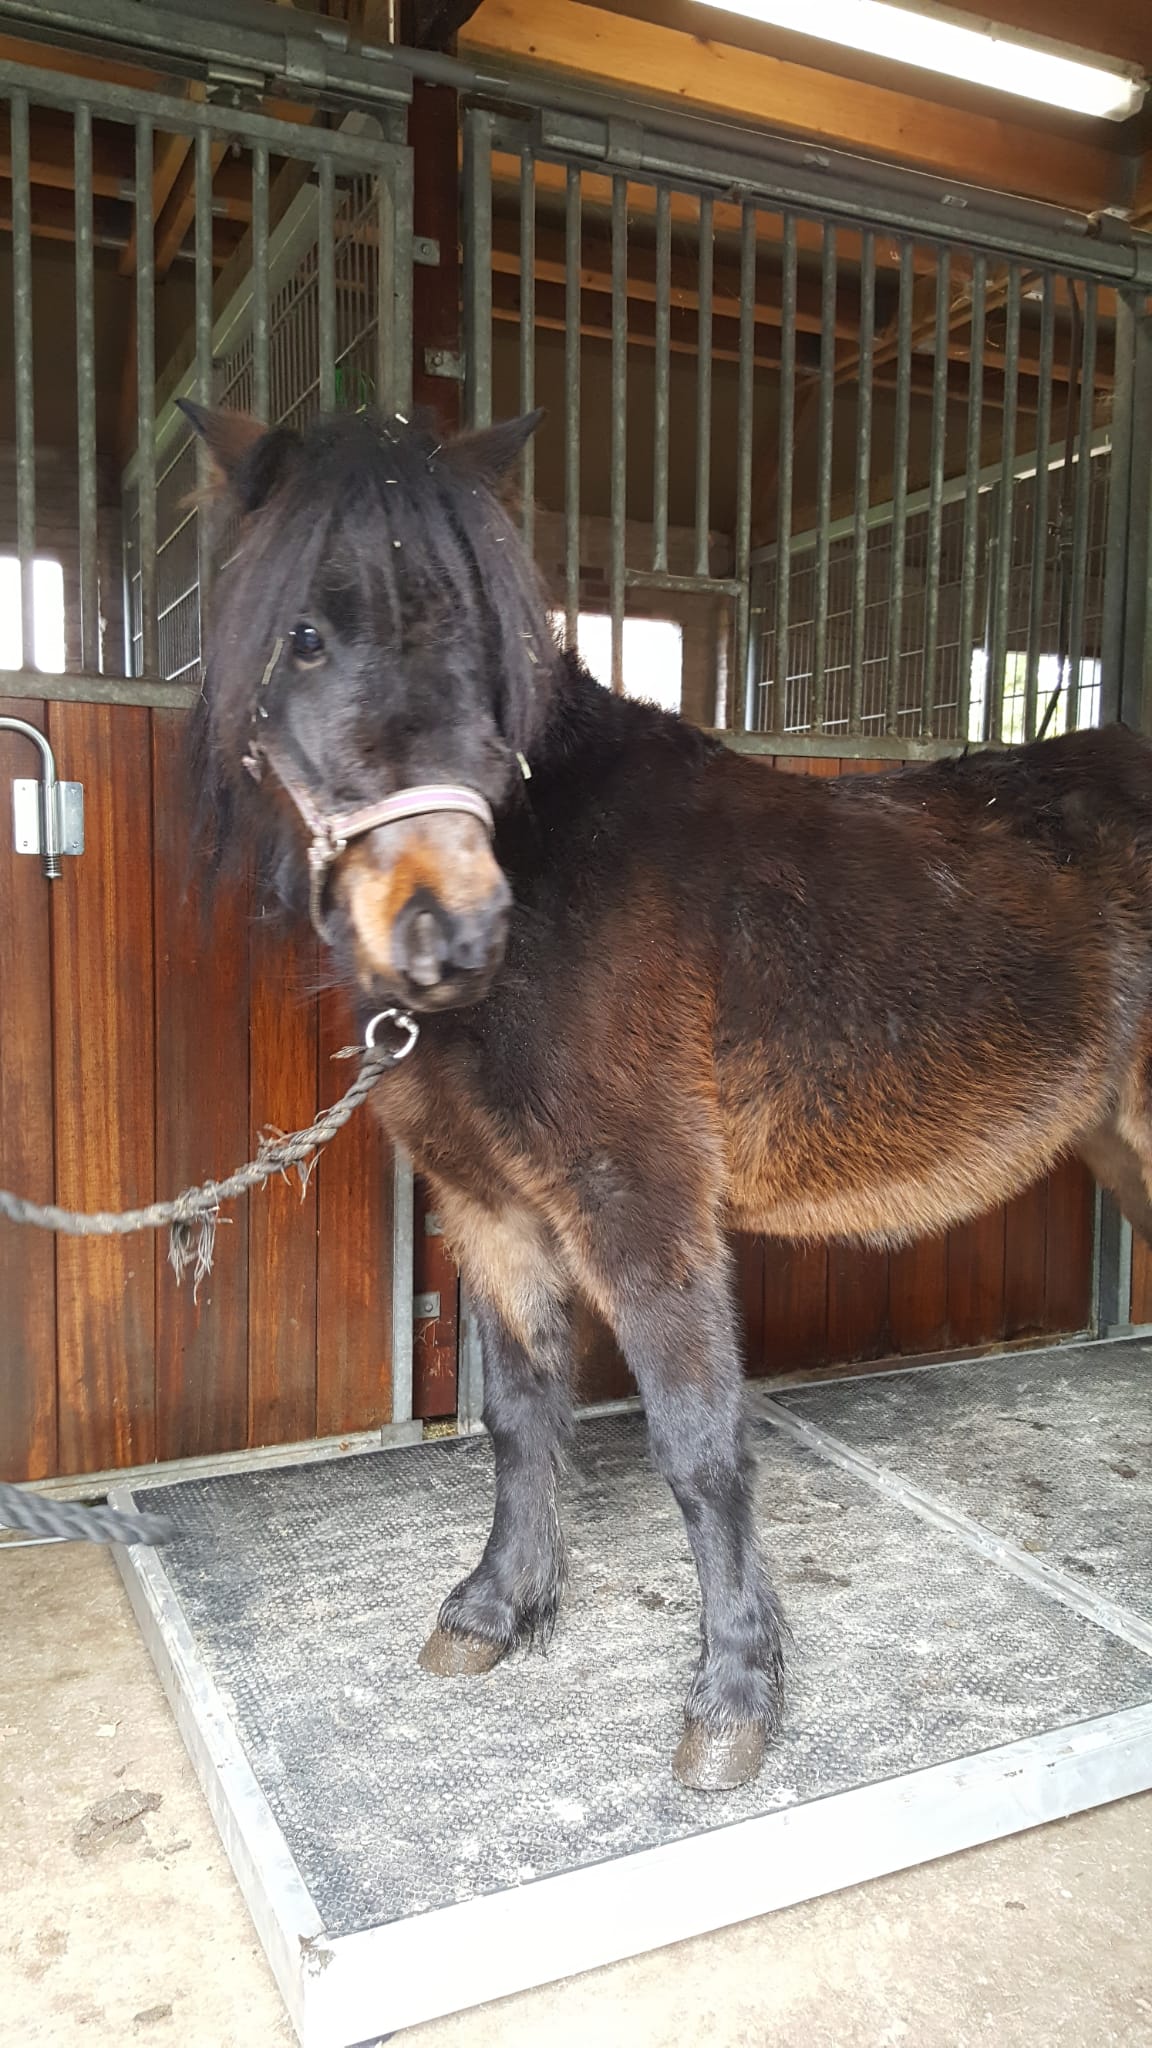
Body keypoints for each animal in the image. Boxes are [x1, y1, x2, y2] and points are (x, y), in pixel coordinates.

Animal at [182, 399, 1152, 1792]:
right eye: (303, 634)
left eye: (493, 644)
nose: (450, 930)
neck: (551, 894)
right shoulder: (493, 1212)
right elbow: (521, 1414)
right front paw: (495, 1610)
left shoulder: (641, 1207)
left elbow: (697, 1444)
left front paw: (734, 1700)